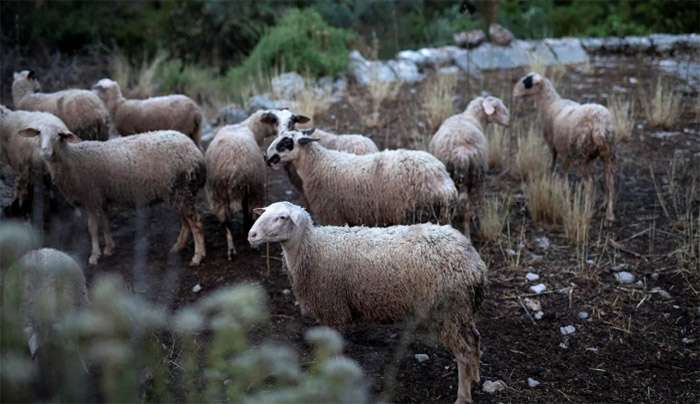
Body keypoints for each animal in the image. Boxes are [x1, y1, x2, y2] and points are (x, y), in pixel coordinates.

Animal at [17, 126, 205, 266]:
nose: (45, 152)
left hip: (181, 189)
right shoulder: (102, 198)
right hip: (176, 192)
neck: (72, 160)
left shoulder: (91, 197)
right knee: (185, 222)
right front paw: (109, 248)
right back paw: (178, 247)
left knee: (195, 223)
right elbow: (106, 222)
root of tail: (194, 150)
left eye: (59, 136)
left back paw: (198, 256)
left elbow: (92, 228)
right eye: (39, 133)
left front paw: (94, 255)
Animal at [250, 202, 486, 404]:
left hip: (451, 310)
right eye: (264, 212)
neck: (312, 248)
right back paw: (475, 376)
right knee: (474, 340)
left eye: (282, 217)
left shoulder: (334, 310)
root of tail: (474, 260)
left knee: (463, 353)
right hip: (462, 311)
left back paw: (463, 395)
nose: (251, 235)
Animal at [266, 129, 456, 226]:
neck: (317, 165)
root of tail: (443, 182)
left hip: (416, 214)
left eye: (286, 142)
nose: (266, 158)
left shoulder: (332, 214)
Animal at [430, 95, 512, 234]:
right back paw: (469, 229)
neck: (472, 117)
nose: (508, 122)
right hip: (476, 177)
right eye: (497, 108)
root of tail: (462, 154)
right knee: (470, 204)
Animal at [508, 73, 616, 224]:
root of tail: (600, 124)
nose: (514, 93)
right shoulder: (566, 150)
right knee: (609, 182)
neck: (550, 104)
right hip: (608, 153)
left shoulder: (554, 146)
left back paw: (587, 208)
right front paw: (563, 187)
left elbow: (554, 164)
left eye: (527, 83)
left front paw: (552, 181)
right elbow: (565, 169)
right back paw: (609, 213)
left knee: (589, 183)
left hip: (584, 154)